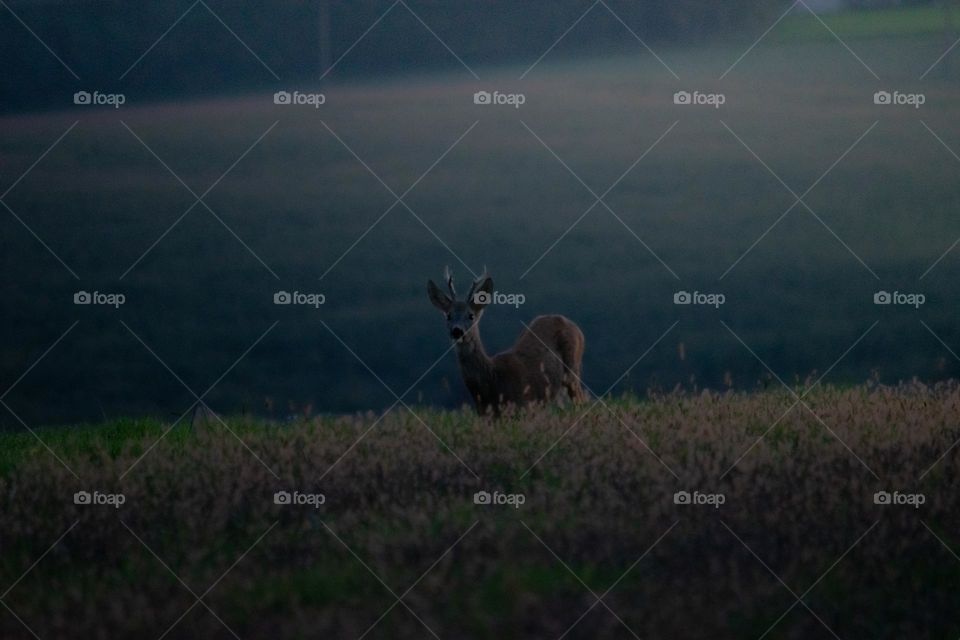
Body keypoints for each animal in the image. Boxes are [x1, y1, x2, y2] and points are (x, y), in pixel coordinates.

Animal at [427, 267, 586, 416]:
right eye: (448, 315)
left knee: (580, 400)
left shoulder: (524, 405)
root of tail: (575, 326)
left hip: (573, 370)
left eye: (471, 315)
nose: (457, 331)